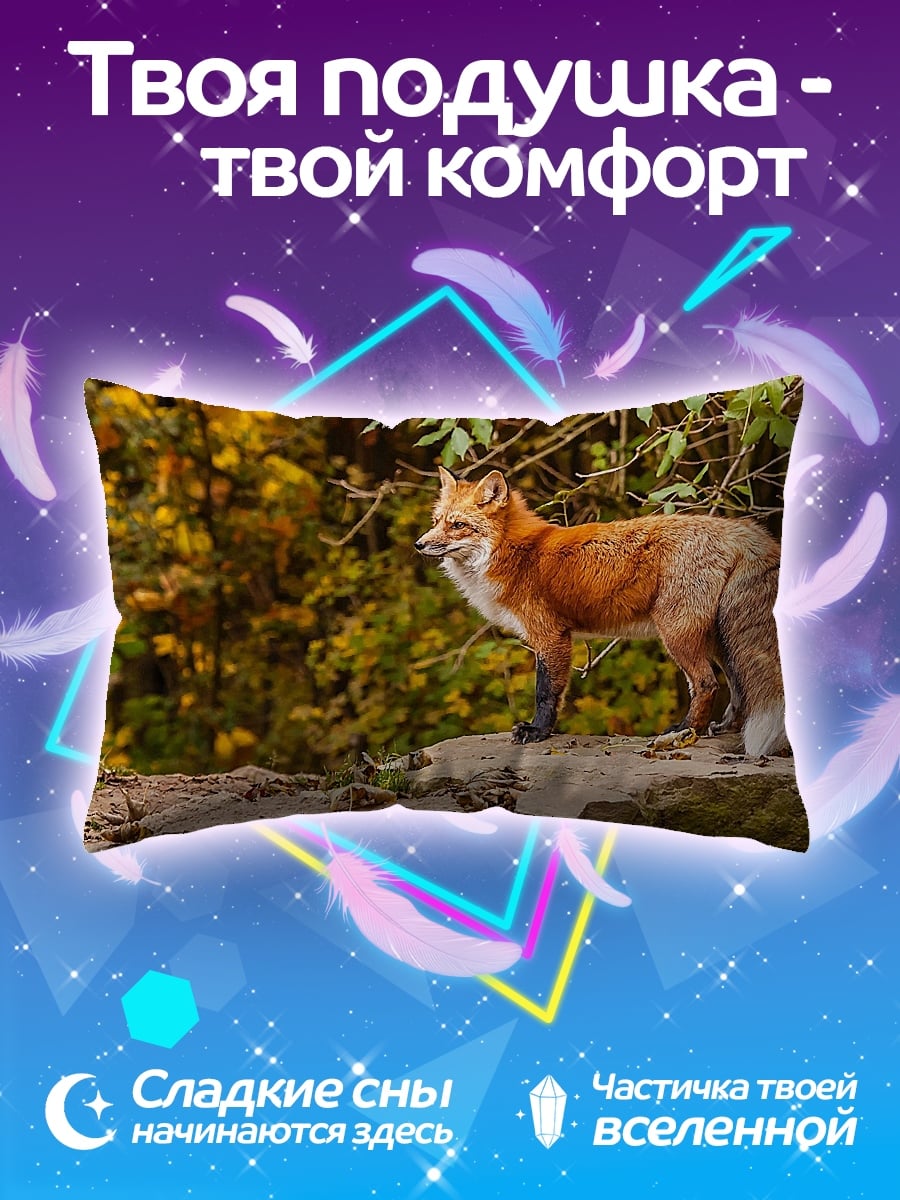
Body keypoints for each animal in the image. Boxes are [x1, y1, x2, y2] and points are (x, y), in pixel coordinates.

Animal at [415, 467, 788, 757]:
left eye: (458, 525)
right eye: (436, 521)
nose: (419, 544)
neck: (514, 553)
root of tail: (741, 529)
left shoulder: (550, 636)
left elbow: (546, 692)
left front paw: (537, 732)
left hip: (678, 633)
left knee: (707, 683)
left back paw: (682, 732)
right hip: (720, 638)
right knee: (738, 688)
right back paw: (720, 727)